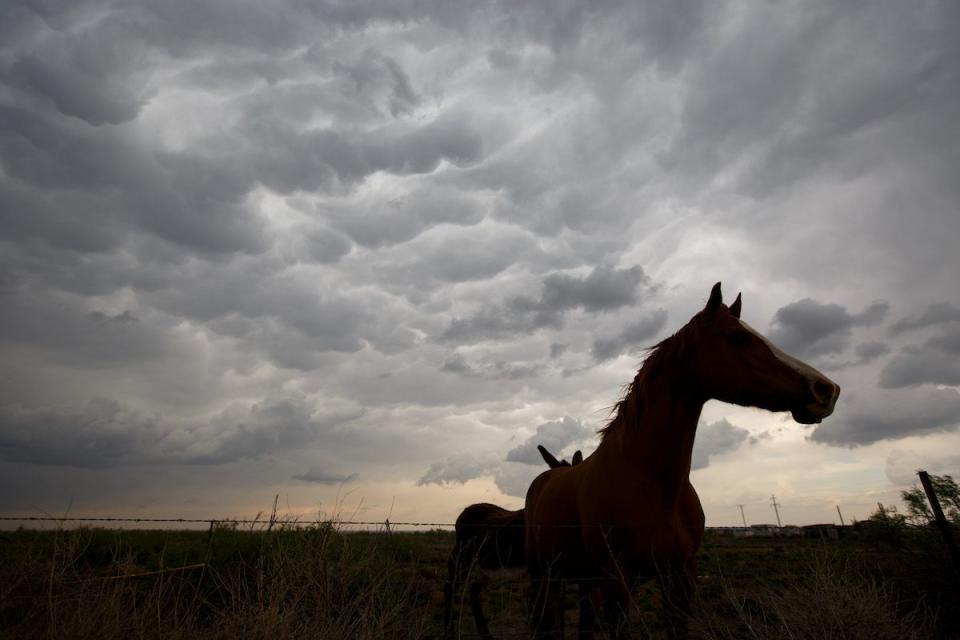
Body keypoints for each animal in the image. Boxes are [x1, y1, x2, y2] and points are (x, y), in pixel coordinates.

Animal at [444, 444, 584, 640]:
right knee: (450, 587)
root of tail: (466, 510)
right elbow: (539, 614)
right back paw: (449, 631)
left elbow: (558, 610)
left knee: (473, 590)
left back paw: (486, 635)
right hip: (462, 560)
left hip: (491, 569)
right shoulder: (539, 574)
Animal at [524, 284, 840, 640]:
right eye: (737, 337)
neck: (653, 485)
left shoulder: (680, 579)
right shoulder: (617, 581)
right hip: (545, 574)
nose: (826, 389)